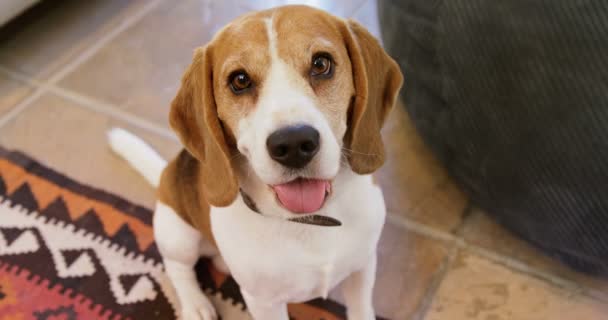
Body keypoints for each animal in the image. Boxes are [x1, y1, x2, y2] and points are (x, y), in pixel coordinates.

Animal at [109, 5, 404, 320]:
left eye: (321, 64)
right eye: (239, 80)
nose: (293, 144)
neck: (309, 221)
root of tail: (166, 171)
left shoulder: (363, 269)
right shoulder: (265, 303)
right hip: (177, 235)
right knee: (178, 267)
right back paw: (195, 304)